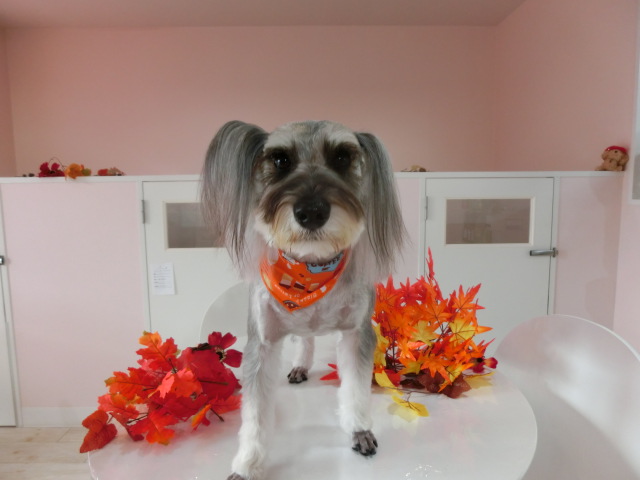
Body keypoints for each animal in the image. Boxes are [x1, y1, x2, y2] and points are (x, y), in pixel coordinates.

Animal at [201, 120, 405, 480]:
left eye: (342, 157)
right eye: (280, 160)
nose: (311, 211)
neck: (310, 269)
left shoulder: (357, 333)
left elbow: (356, 389)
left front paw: (360, 431)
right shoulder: (262, 342)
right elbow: (255, 414)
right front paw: (248, 464)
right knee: (304, 338)